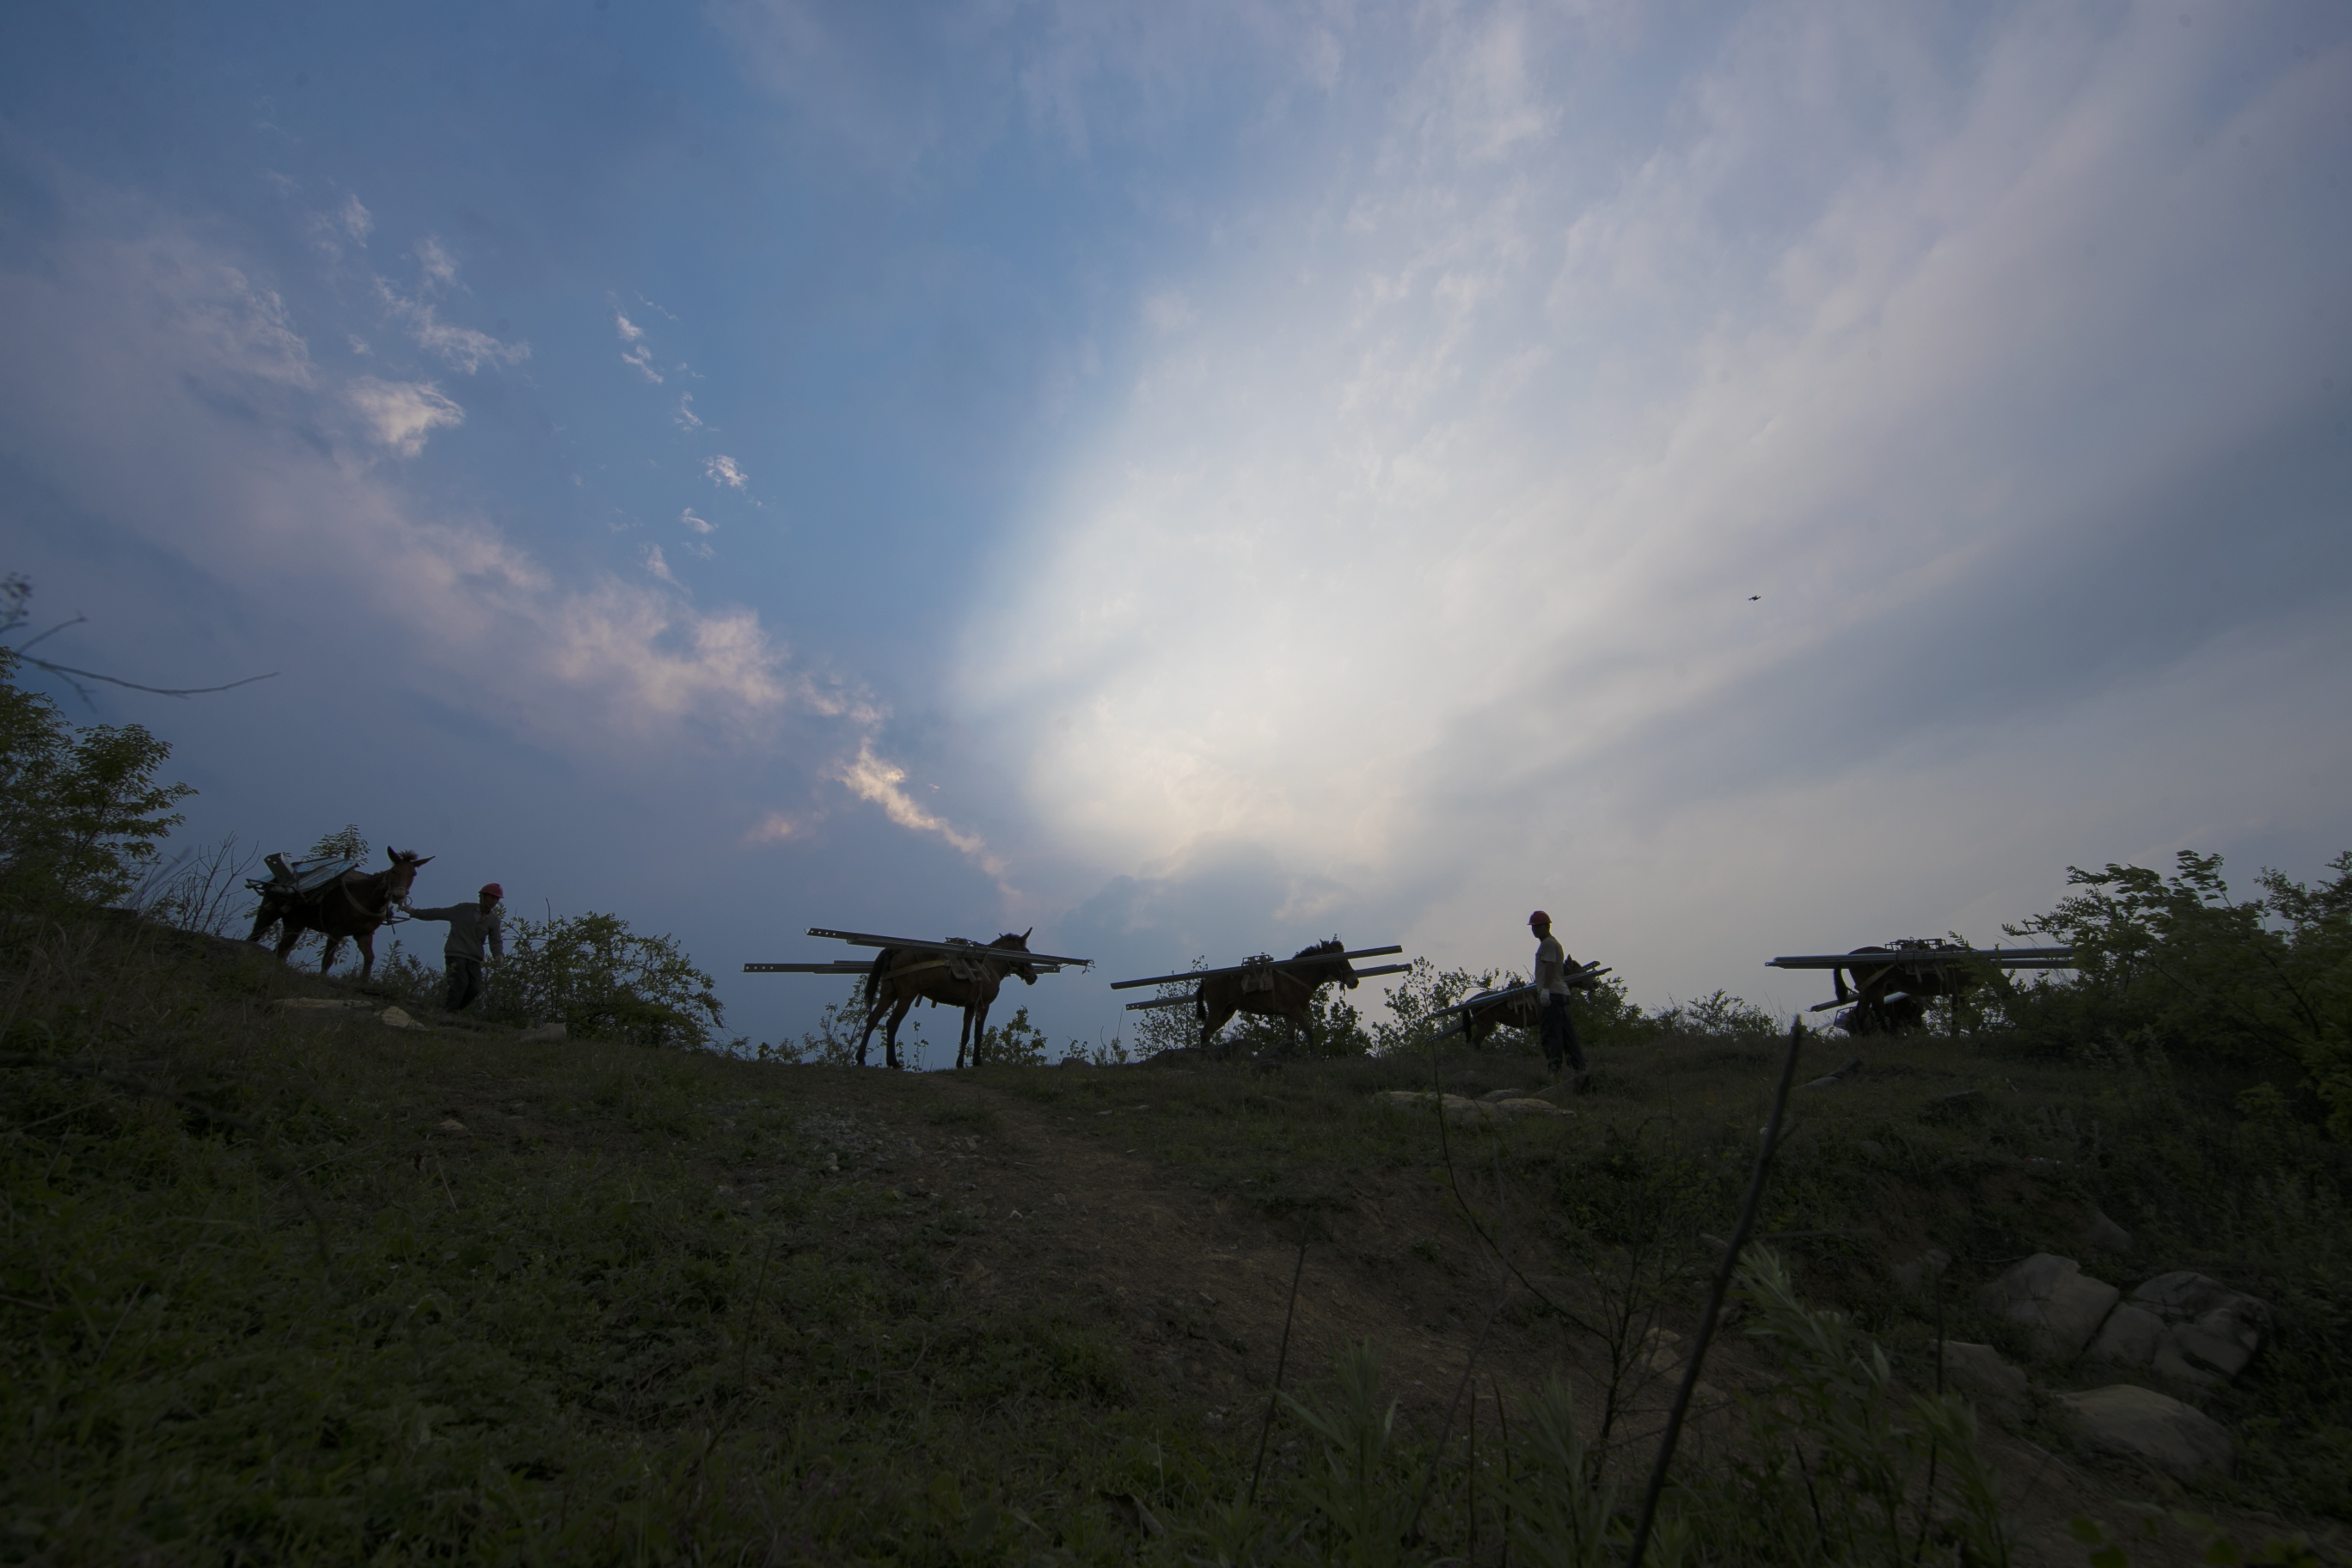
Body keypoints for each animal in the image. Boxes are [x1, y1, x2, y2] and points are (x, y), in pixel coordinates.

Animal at [254, 846, 439, 983]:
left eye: (413, 874)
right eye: (394, 871)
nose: (398, 896)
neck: (367, 900)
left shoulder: (364, 934)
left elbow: (369, 959)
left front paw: (363, 983)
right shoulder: (336, 932)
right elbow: (327, 960)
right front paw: (321, 979)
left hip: (295, 924)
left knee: (280, 950)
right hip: (268, 913)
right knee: (255, 937)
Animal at [855, 930, 1039, 1081]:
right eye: (1027, 953)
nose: (1033, 976)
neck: (991, 963)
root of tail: (895, 950)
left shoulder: (970, 1006)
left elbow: (965, 1034)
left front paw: (960, 1063)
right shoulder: (983, 1005)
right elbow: (978, 1034)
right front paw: (977, 1061)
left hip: (889, 993)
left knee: (873, 1018)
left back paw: (861, 1058)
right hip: (906, 996)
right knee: (892, 1023)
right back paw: (893, 1061)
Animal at [1194, 940, 1363, 1063]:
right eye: (1339, 959)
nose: (1354, 981)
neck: (1296, 976)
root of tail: (1206, 980)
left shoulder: (1290, 1015)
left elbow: (1290, 1038)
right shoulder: (1295, 1010)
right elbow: (1308, 1031)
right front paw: (1315, 1055)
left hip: (1227, 1011)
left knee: (1208, 1033)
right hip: (1217, 1009)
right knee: (1205, 1033)